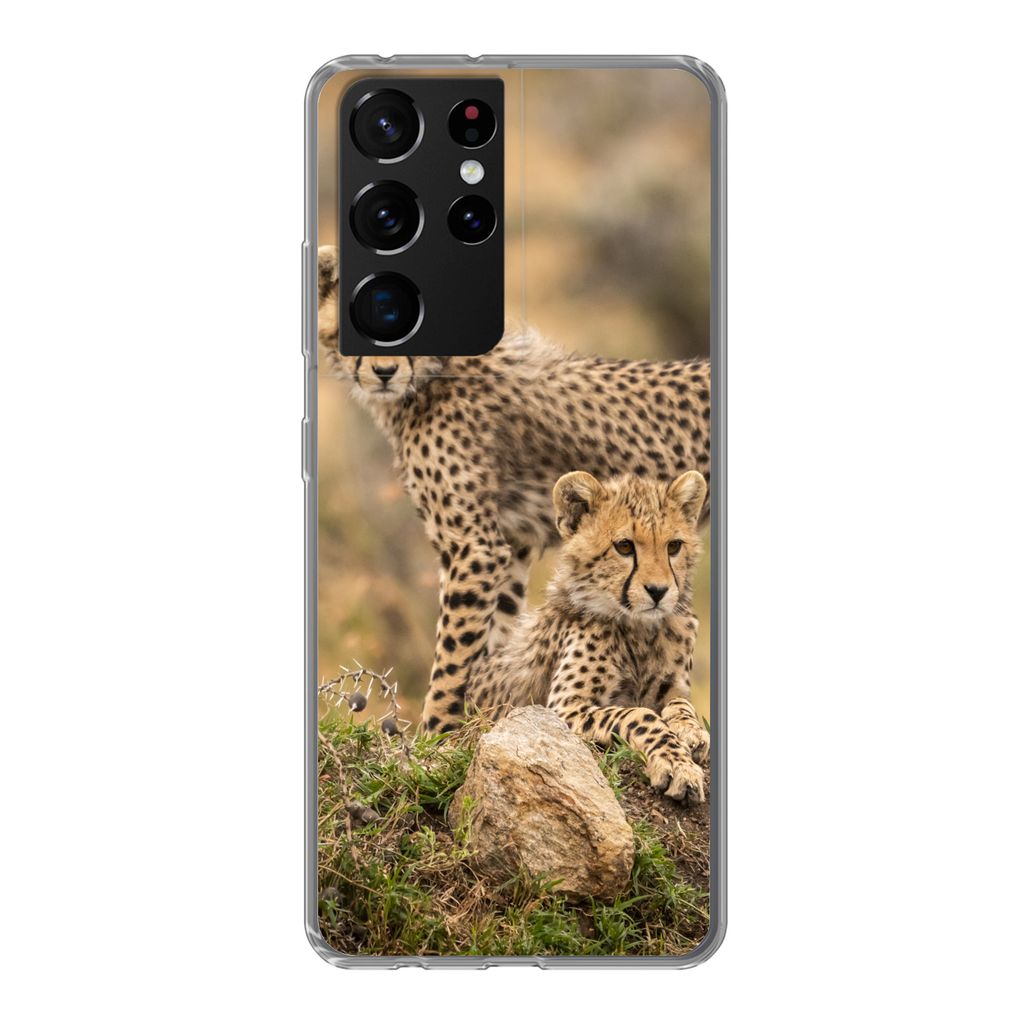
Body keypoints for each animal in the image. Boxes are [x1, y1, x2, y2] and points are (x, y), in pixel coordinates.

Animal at [317, 244, 712, 735]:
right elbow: (492, 642)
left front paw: (436, 737)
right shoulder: (510, 543)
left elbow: (454, 656)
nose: (385, 372)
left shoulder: (474, 547)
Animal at [464, 470, 711, 802]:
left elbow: (681, 705)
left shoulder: (671, 688)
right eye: (624, 546)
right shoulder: (562, 708)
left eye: (674, 546)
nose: (659, 591)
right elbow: (640, 715)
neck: (639, 630)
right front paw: (676, 765)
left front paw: (692, 731)